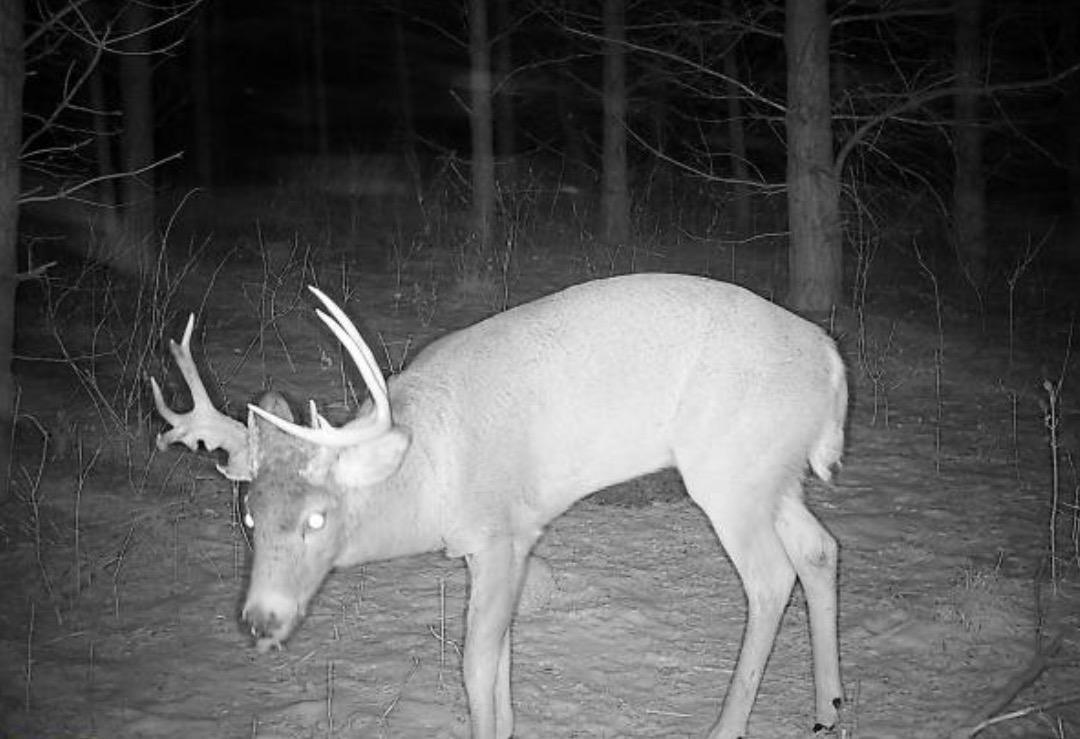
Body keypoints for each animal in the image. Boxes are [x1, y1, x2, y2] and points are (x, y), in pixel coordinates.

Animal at [150, 274, 842, 734]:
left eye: (318, 518)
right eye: (249, 517)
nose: (261, 619)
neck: (429, 468)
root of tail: (834, 363)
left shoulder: (503, 532)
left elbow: (476, 666)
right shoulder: (492, 546)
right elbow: (500, 658)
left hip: (731, 473)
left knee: (770, 577)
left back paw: (729, 726)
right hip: (772, 474)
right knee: (820, 549)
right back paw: (829, 709)